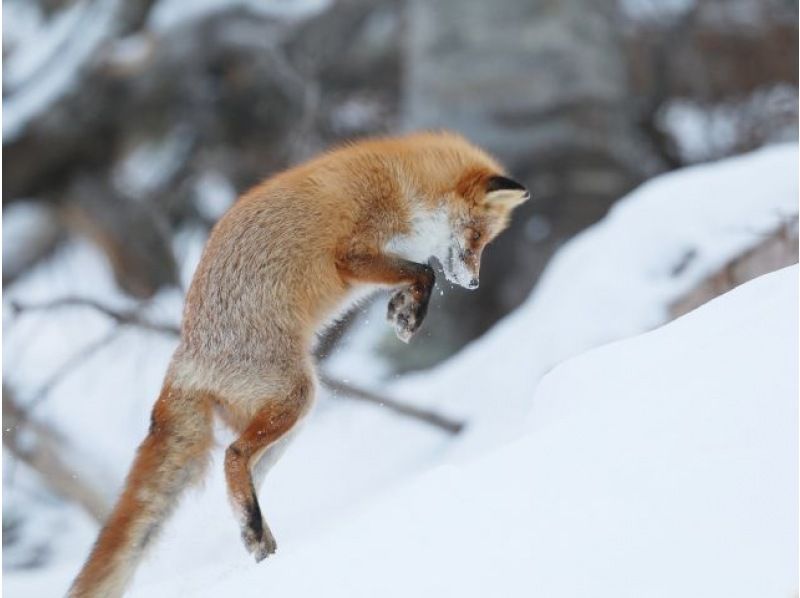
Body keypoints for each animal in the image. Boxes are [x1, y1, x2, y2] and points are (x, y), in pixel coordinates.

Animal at [69, 132, 528, 598]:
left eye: (486, 241)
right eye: (475, 235)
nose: (473, 283)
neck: (405, 187)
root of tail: (185, 357)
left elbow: (418, 274)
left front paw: (403, 308)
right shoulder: (353, 252)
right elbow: (424, 272)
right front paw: (409, 314)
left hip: (288, 422)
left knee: (243, 474)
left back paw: (258, 538)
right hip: (297, 395)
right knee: (233, 456)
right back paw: (256, 533)